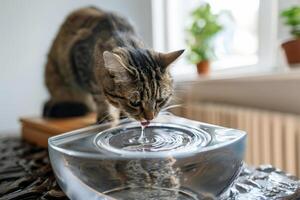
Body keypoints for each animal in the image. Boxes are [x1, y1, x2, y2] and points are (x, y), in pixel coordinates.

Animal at [42, 7, 183, 124]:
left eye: (160, 100)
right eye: (135, 103)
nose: (150, 118)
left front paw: (124, 116)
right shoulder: (81, 62)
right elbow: (99, 97)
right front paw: (106, 116)